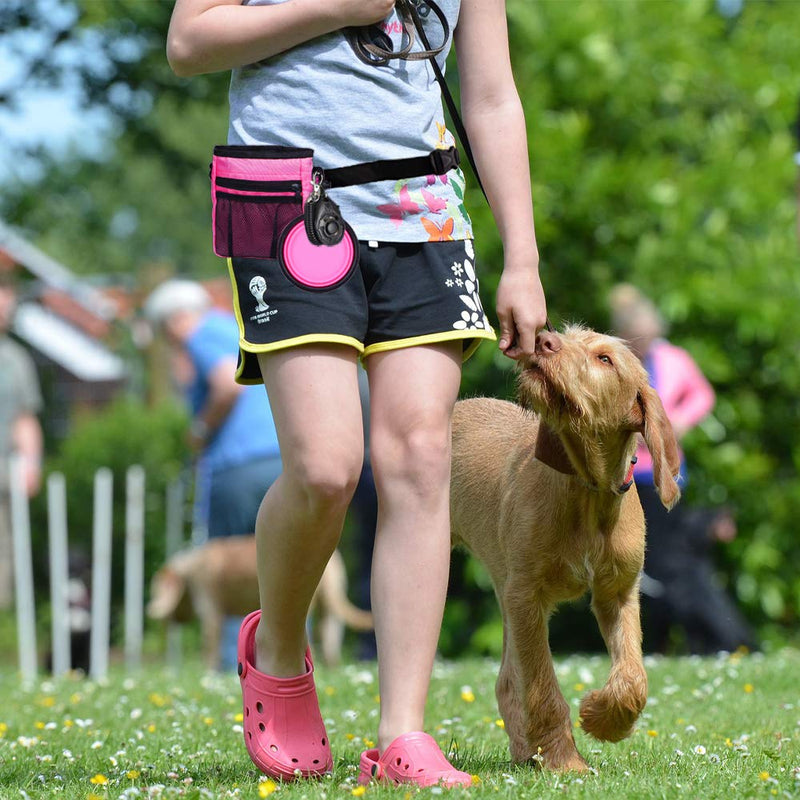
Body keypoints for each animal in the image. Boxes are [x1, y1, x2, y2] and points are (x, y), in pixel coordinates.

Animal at [148, 536, 374, 672]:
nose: (167, 622)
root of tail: (334, 561)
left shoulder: (210, 606)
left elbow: (210, 644)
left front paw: (208, 672)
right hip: (330, 604)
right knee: (330, 641)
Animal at [454, 324, 680, 768]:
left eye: (605, 359)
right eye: (566, 334)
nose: (543, 340)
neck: (586, 491)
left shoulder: (617, 593)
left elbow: (634, 677)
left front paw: (603, 719)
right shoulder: (527, 597)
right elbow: (543, 688)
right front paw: (565, 762)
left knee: (507, 682)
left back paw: (526, 753)